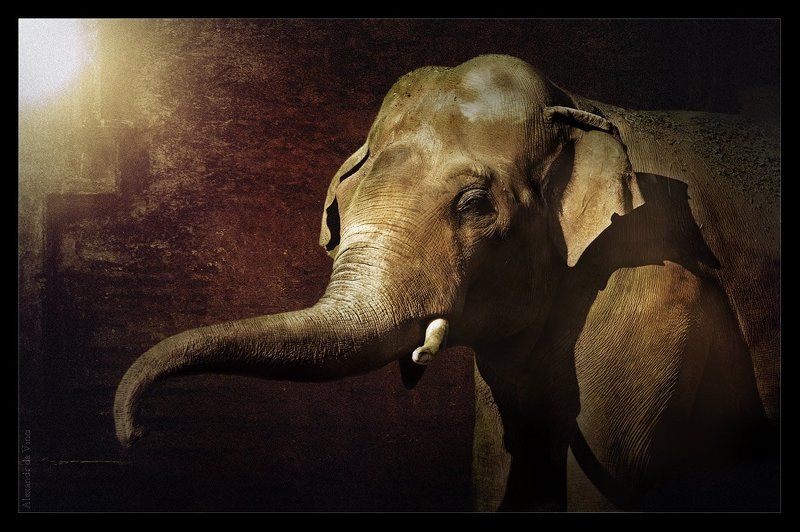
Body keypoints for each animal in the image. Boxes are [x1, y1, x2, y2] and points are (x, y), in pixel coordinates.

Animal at [114, 54, 780, 511]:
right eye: (342, 205)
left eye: (475, 204)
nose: (133, 433)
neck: (582, 105)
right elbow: (501, 461)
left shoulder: (654, 288)